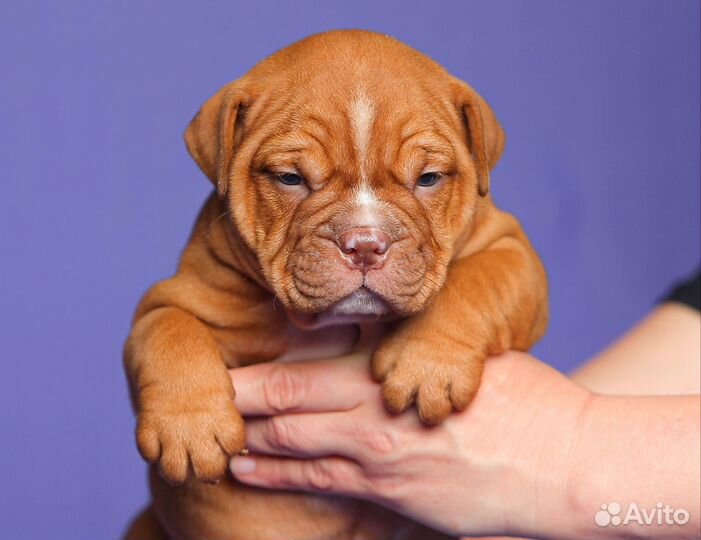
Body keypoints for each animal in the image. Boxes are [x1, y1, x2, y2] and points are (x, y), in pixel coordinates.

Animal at [124, 30, 548, 540]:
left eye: (428, 178)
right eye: (289, 178)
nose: (365, 243)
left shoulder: (511, 249)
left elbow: (477, 280)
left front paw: (428, 365)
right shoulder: (176, 296)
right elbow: (169, 328)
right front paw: (189, 427)